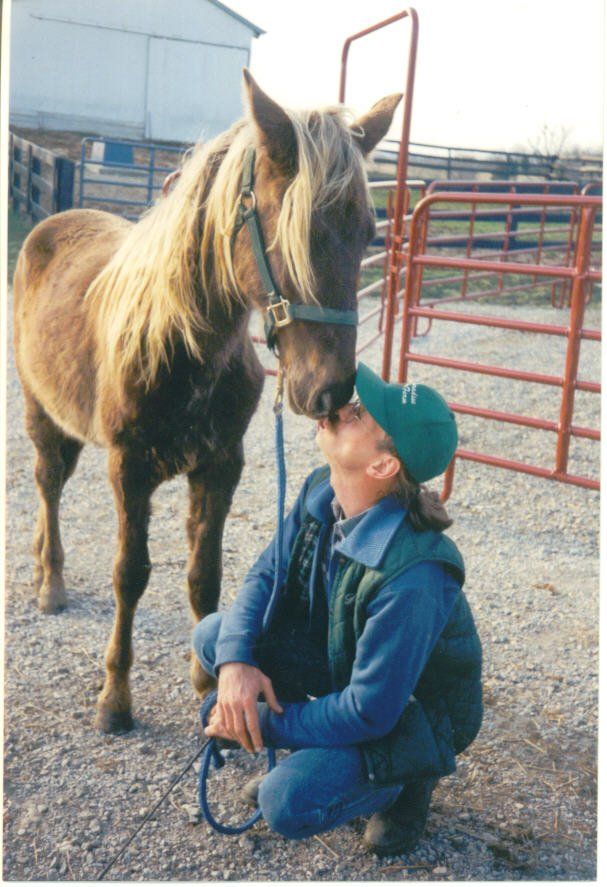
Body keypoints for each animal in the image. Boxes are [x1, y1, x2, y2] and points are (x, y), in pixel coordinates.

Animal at [12, 70, 401, 734]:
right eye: (287, 231)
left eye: (367, 234)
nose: (329, 389)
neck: (179, 341)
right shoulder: (129, 469)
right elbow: (130, 575)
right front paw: (115, 698)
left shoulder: (221, 466)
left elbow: (205, 573)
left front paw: (208, 679)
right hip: (41, 414)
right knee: (48, 486)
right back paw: (50, 581)